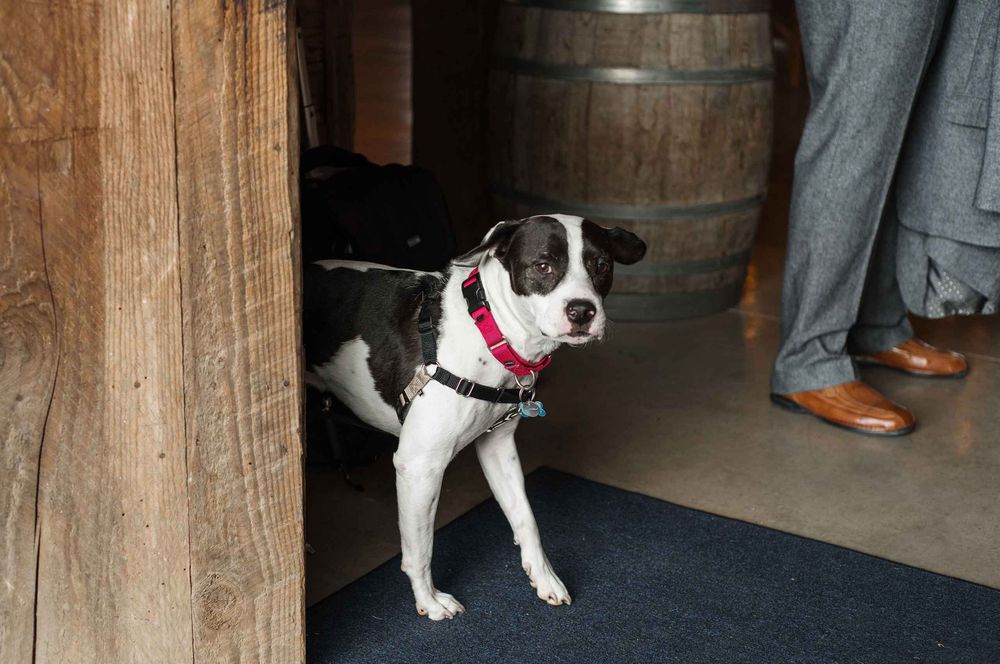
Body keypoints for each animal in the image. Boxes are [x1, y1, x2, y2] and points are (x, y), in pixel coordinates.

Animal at [304, 215, 644, 620]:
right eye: (543, 266)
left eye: (601, 265)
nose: (582, 311)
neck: (489, 331)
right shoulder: (419, 467)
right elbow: (420, 547)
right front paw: (428, 601)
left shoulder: (498, 447)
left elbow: (526, 517)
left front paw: (544, 577)